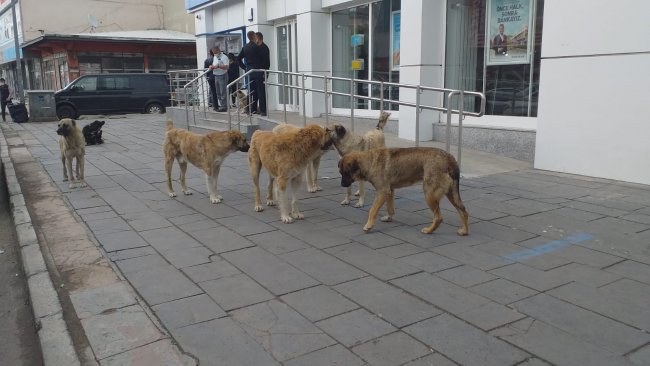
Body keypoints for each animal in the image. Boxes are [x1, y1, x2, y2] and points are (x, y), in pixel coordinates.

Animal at [336, 147, 468, 236]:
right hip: (451, 194)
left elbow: (372, 211)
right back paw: (464, 231)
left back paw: (429, 230)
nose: (342, 185)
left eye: (346, 173)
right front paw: (388, 218)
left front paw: (368, 226)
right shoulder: (389, 191)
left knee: (439, 217)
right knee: (463, 211)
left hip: (429, 194)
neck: (369, 162)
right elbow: (390, 208)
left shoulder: (382, 192)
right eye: (341, 173)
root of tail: (449, 158)